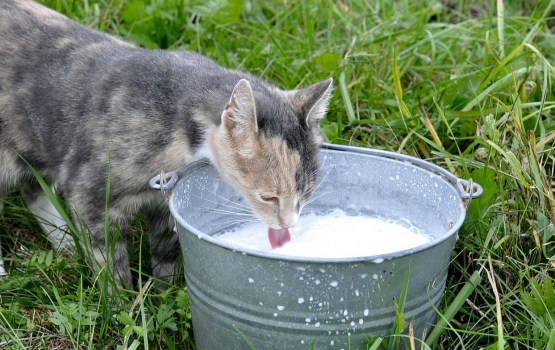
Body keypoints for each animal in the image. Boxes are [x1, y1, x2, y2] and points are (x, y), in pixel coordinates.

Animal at [0, 0, 332, 288]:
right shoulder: (89, 190)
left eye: (305, 195)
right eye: (268, 197)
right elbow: (108, 259)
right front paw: (122, 304)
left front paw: (165, 292)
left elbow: (166, 250)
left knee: (33, 186)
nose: (289, 226)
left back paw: (65, 242)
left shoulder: (164, 203)